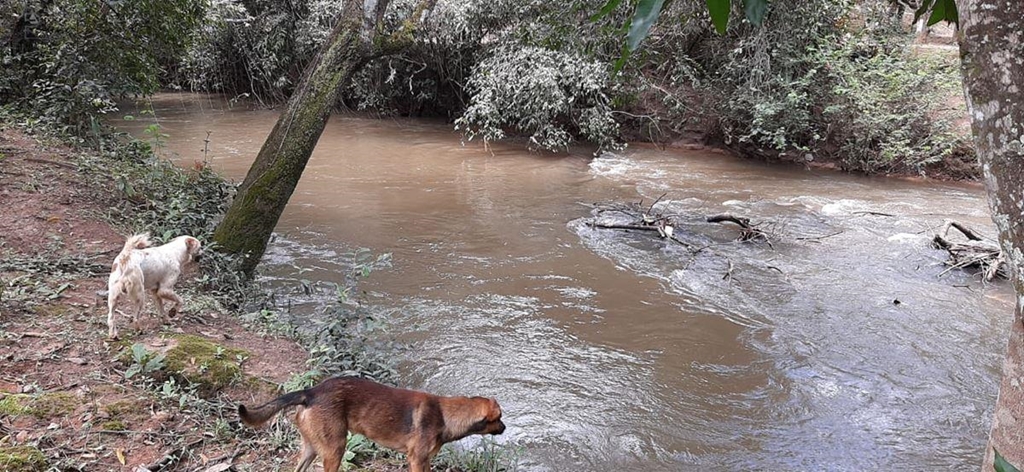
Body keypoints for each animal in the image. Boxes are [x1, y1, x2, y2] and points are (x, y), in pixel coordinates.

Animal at [243, 374, 507, 470]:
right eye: (500, 418)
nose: (505, 429)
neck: (445, 414)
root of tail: (311, 392)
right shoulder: (417, 460)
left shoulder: (424, 460)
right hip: (335, 448)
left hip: (311, 448)